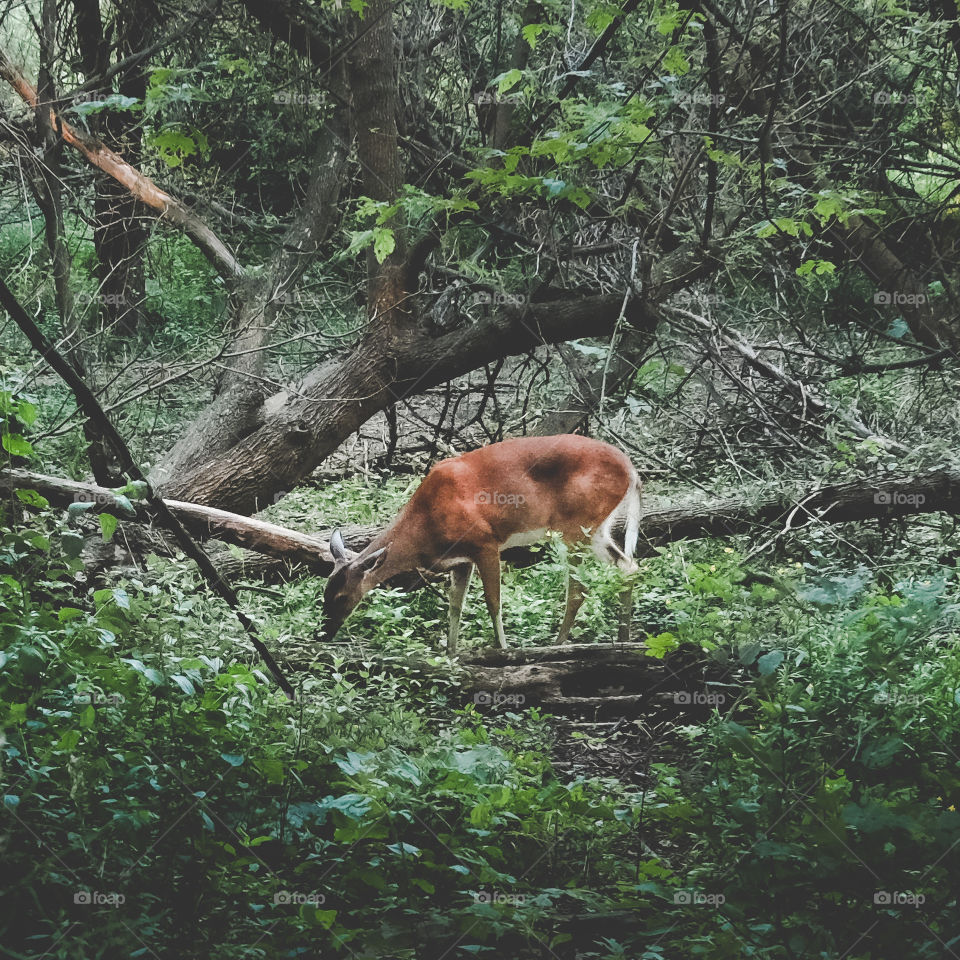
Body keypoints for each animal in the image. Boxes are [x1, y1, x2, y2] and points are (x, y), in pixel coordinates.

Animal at [320, 434, 642, 653]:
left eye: (342, 597)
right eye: (324, 594)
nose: (322, 635)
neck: (426, 525)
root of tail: (632, 469)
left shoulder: (485, 542)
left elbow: (493, 601)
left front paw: (502, 649)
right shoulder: (460, 561)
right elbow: (455, 605)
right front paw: (450, 653)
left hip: (575, 527)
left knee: (578, 587)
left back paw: (558, 643)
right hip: (595, 529)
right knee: (628, 565)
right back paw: (624, 638)